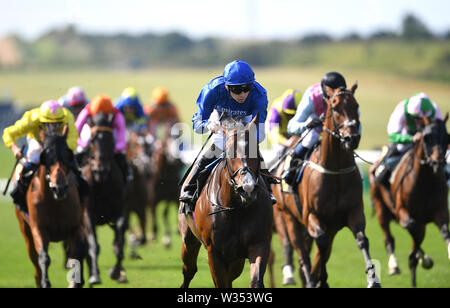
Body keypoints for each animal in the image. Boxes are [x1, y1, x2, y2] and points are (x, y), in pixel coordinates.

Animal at [15, 127, 89, 288]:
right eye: (46, 156)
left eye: (67, 155)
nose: (59, 188)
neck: (55, 203)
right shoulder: (38, 227)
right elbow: (43, 257)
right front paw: (45, 282)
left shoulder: (76, 227)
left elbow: (76, 255)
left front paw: (75, 282)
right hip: (25, 230)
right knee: (35, 260)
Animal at [81, 113, 128, 284]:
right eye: (92, 140)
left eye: (110, 139)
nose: (100, 169)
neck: (102, 182)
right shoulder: (87, 213)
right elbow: (93, 244)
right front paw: (95, 275)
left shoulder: (120, 210)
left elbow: (119, 243)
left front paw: (116, 272)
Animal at [178, 114, 270, 288]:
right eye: (229, 151)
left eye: (255, 150)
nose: (247, 188)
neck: (237, 209)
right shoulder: (214, 252)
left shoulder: (259, 244)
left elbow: (256, 281)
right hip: (189, 239)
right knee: (189, 271)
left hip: (235, 260)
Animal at [272, 83, 382, 288]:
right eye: (335, 107)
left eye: (356, 105)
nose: (351, 138)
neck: (335, 170)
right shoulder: (312, 216)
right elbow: (320, 246)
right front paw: (318, 279)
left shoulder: (353, 212)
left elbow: (362, 240)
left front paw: (373, 279)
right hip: (288, 217)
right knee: (300, 250)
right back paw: (306, 277)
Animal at [370, 115, 450, 286]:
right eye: (426, 137)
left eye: (447, 137)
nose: (438, 161)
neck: (425, 181)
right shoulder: (402, 212)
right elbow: (413, 230)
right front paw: (420, 258)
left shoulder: (440, 211)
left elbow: (444, 231)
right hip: (381, 208)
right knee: (389, 238)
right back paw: (394, 265)